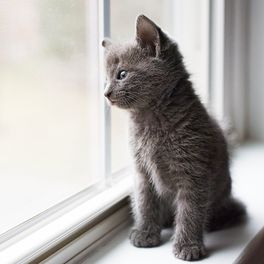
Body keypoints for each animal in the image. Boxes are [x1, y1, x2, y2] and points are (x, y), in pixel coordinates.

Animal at [101, 15, 245, 260]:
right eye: (106, 79)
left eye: (122, 74)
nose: (106, 93)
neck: (150, 122)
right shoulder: (142, 172)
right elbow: (144, 203)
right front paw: (145, 233)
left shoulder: (193, 172)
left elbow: (190, 211)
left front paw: (187, 246)